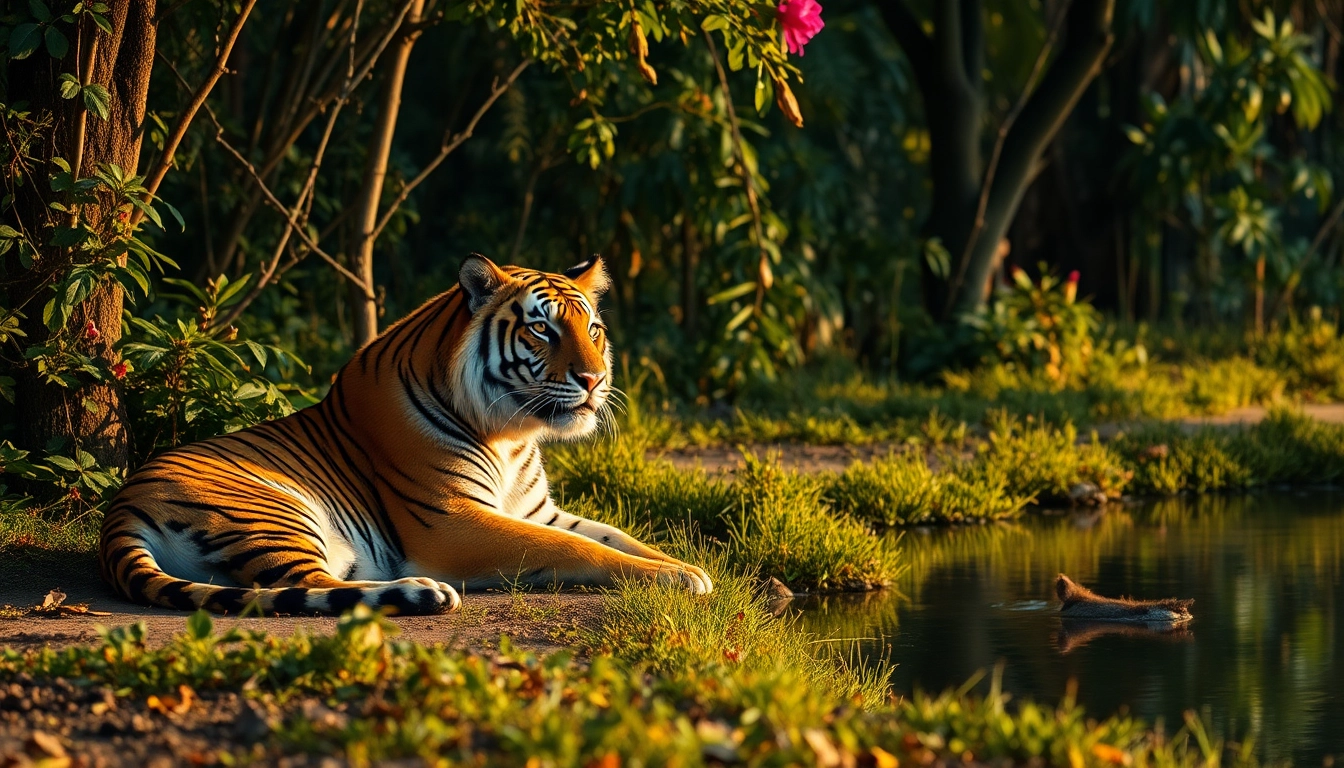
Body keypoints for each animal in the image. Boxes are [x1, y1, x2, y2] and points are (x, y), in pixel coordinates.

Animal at [98, 254, 713, 615]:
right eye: (542, 329)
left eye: (593, 329)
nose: (595, 379)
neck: (514, 434)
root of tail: (119, 510)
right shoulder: (454, 522)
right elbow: (580, 548)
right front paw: (682, 579)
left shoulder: (537, 511)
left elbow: (615, 535)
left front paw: (685, 567)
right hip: (272, 513)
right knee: (310, 589)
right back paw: (423, 592)